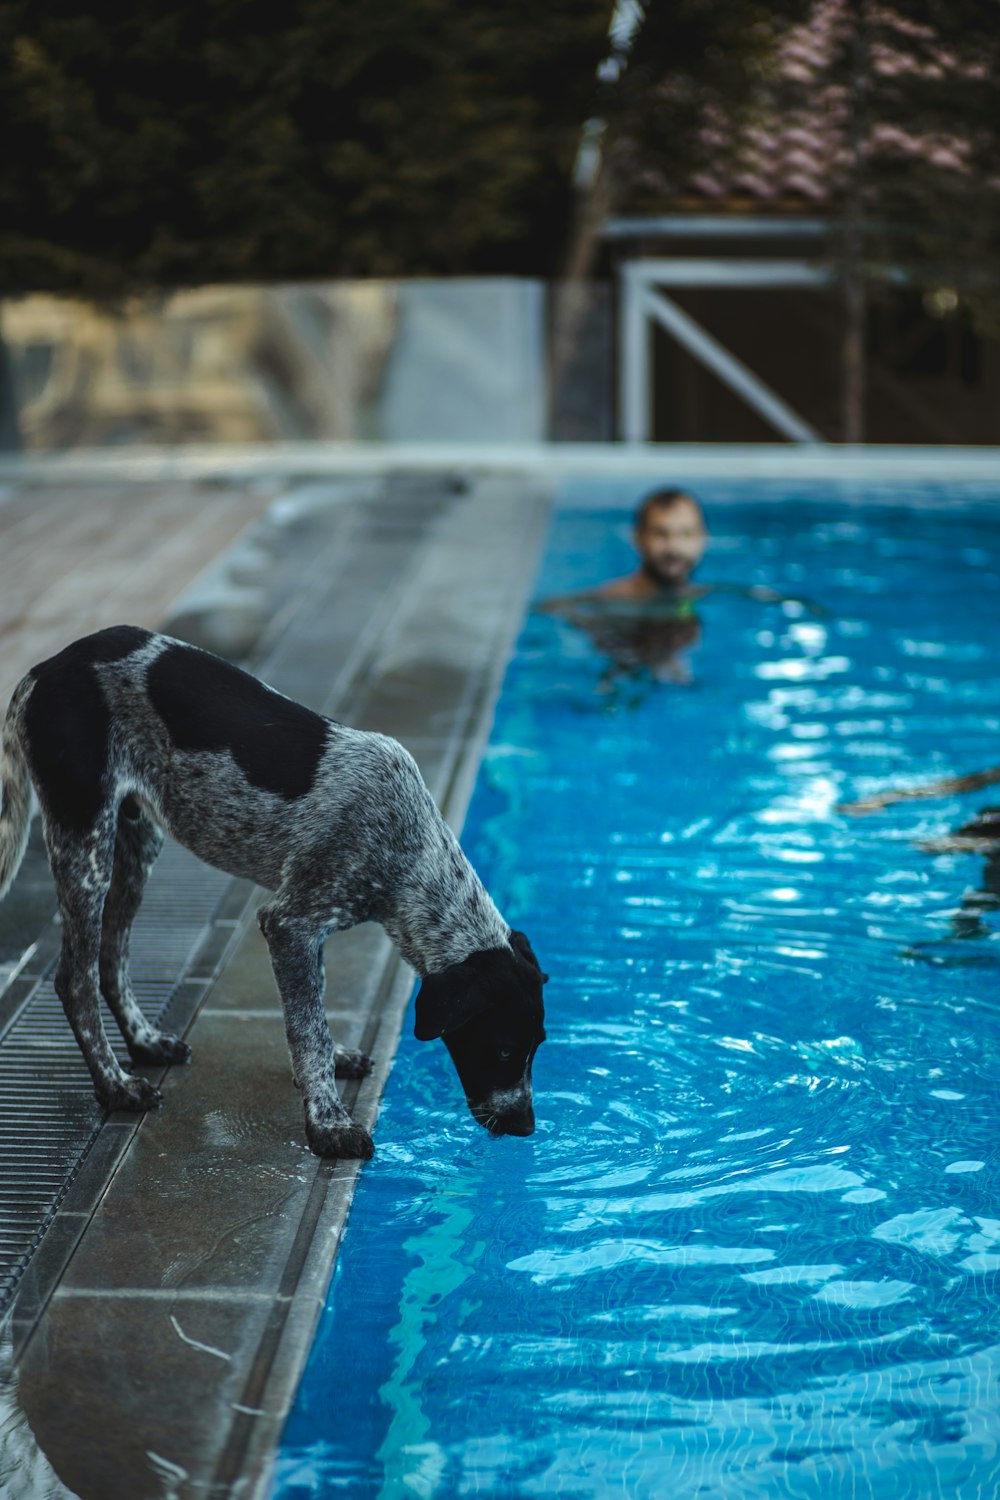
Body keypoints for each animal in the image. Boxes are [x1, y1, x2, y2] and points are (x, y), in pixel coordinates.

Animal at [0, 624, 548, 1158]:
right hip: (84, 840)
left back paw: (145, 1043)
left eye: (537, 1045)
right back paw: (115, 1086)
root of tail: (43, 669)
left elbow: (315, 1012)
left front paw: (332, 1069)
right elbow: (309, 1031)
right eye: (502, 1047)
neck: (409, 851)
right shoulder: (290, 923)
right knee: (75, 979)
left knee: (112, 959)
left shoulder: (308, 928)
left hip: (137, 842)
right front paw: (328, 1123)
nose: (525, 1127)